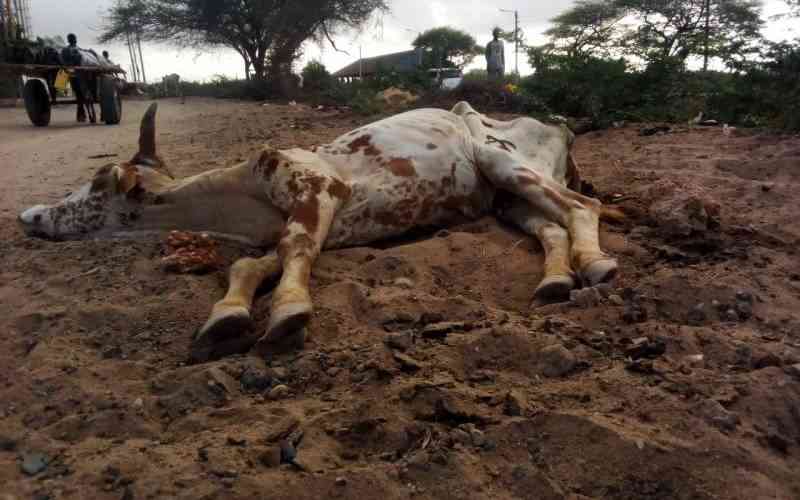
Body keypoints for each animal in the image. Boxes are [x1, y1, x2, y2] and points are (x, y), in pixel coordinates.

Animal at [17, 102, 620, 356]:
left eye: (95, 186)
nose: (29, 215)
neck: (244, 195)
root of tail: (560, 127)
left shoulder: (319, 194)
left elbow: (296, 249)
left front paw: (287, 311)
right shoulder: (304, 226)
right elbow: (253, 262)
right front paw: (226, 314)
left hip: (506, 164)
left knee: (580, 207)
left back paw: (595, 264)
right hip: (506, 200)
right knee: (552, 228)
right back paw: (555, 280)